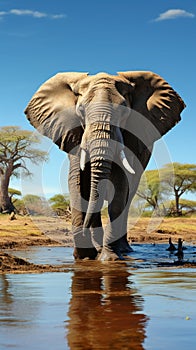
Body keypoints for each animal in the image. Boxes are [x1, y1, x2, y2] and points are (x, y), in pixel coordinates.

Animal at [24, 70, 185, 260]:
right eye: (80, 110)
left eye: (124, 111)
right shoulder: (74, 134)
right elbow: (77, 182)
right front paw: (85, 257)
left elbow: (119, 186)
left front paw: (109, 258)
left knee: (127, 198)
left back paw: (123, 250)